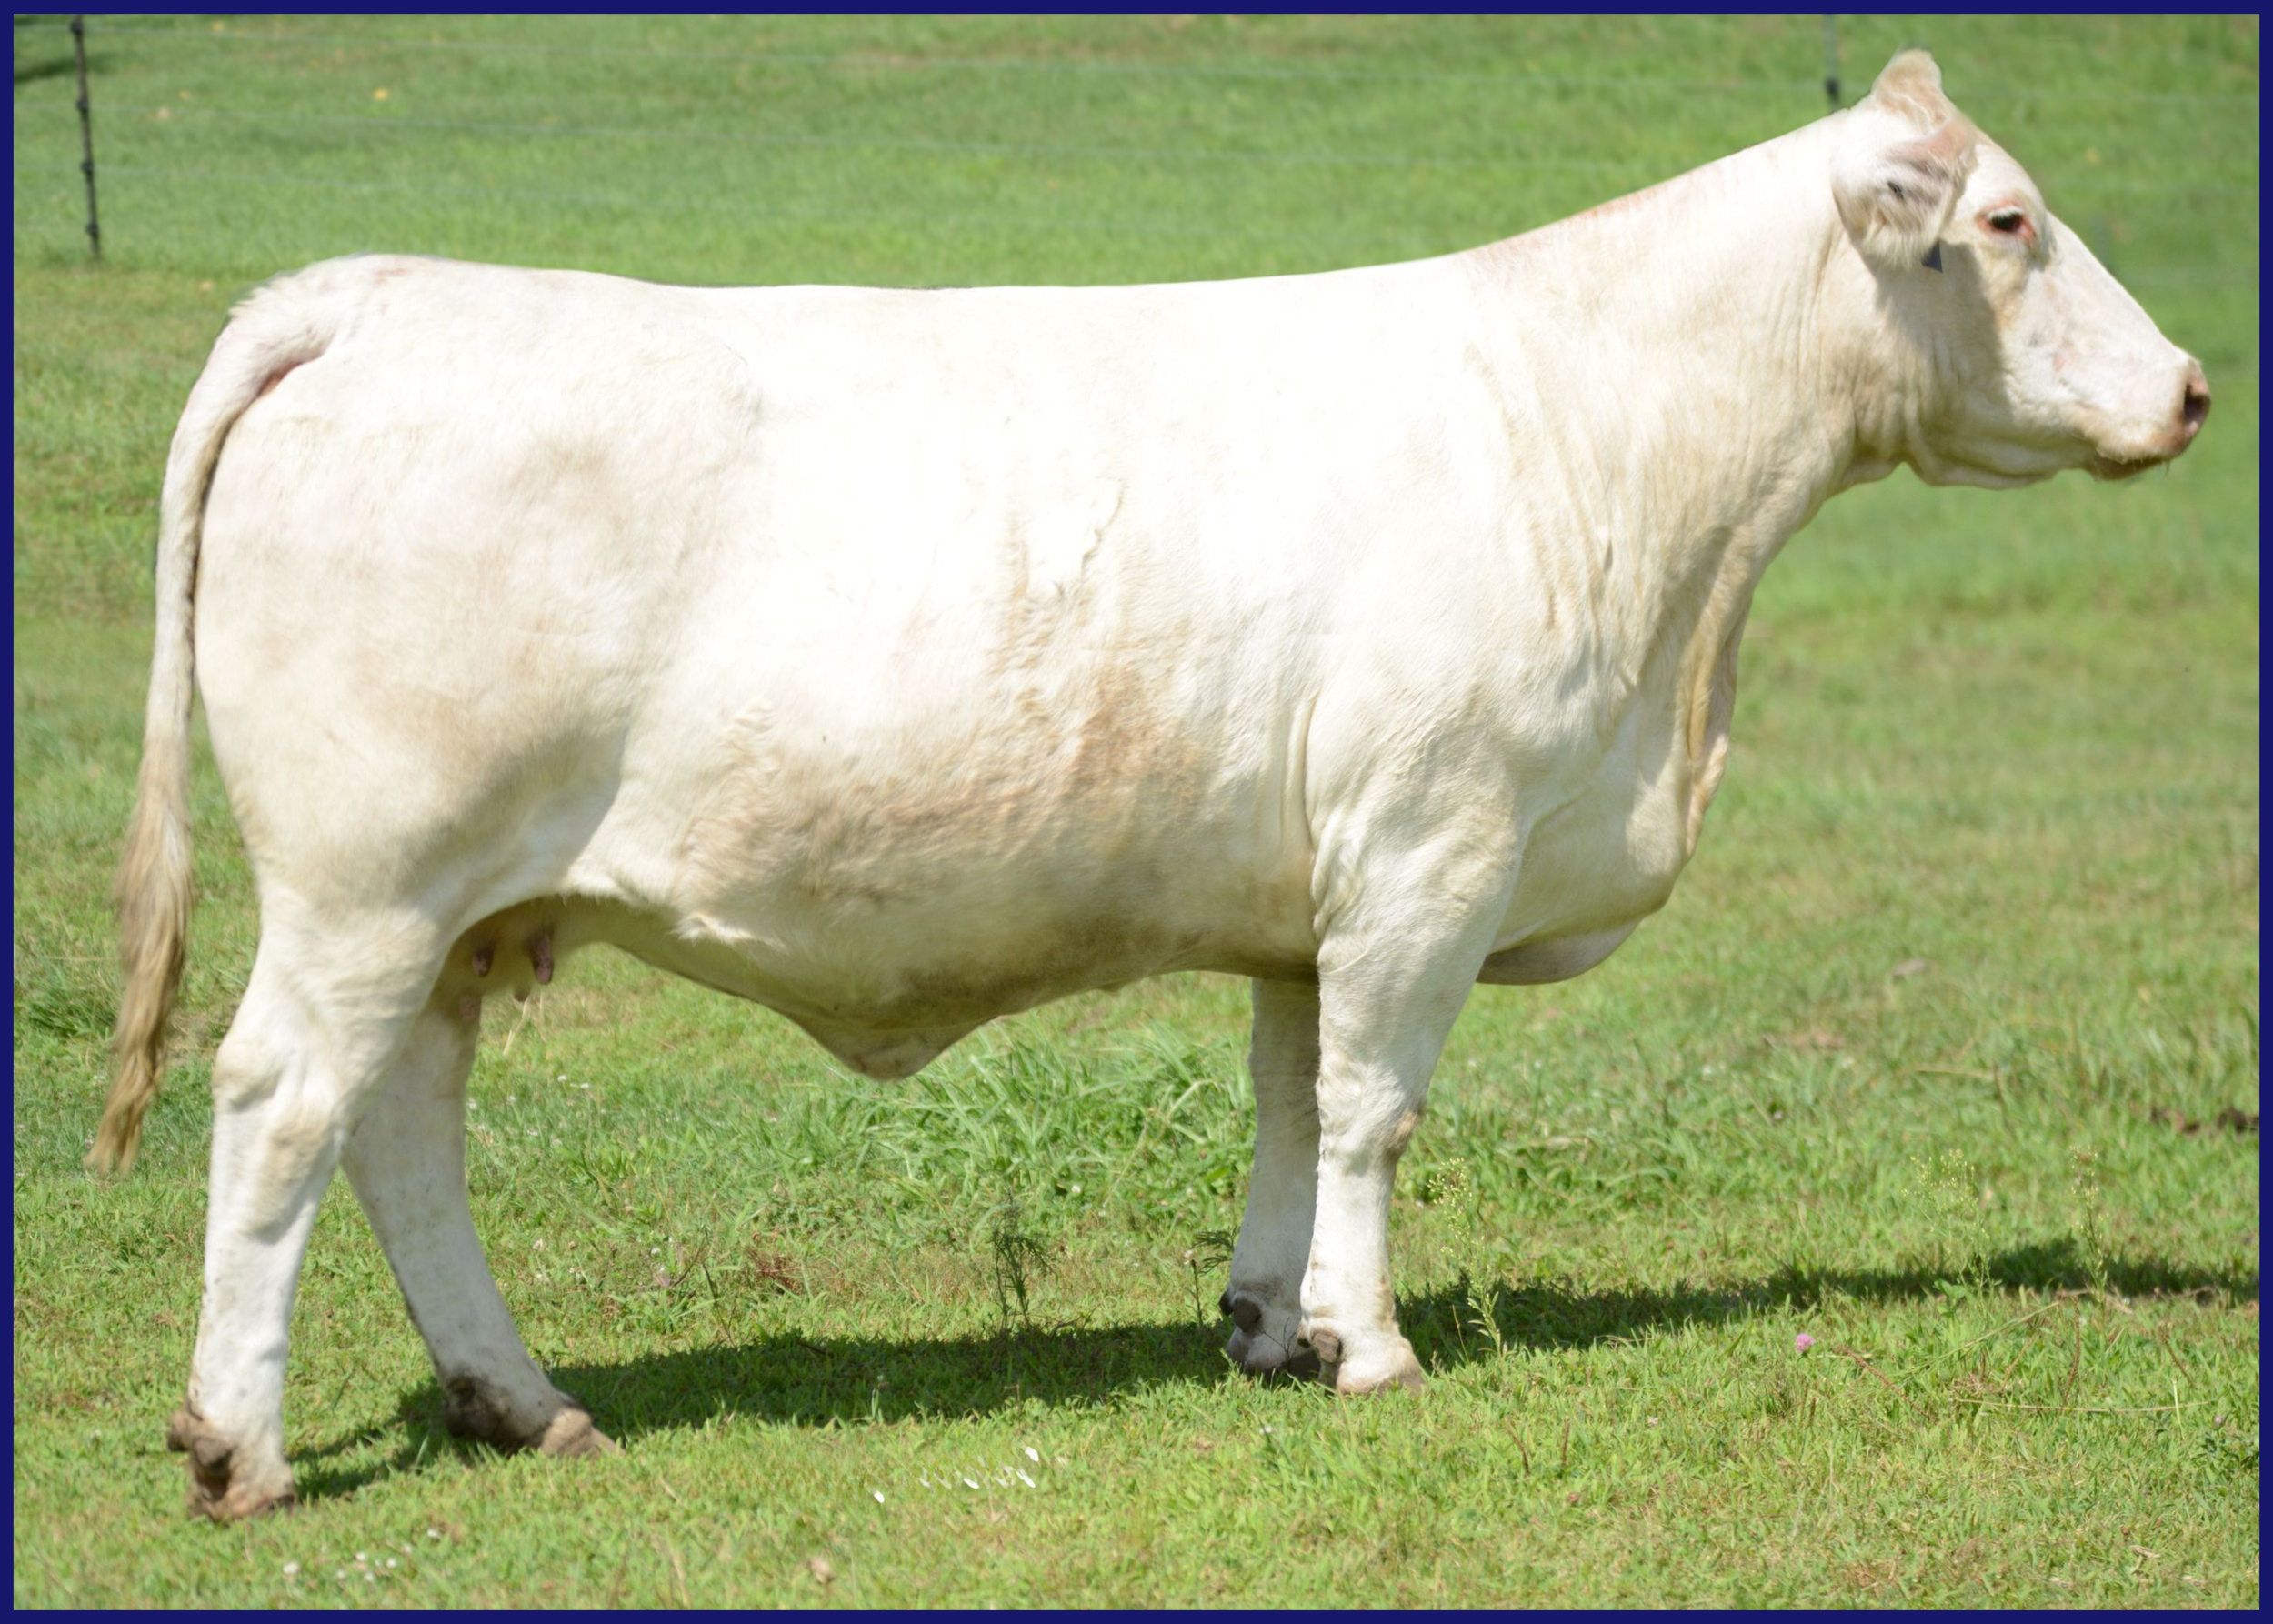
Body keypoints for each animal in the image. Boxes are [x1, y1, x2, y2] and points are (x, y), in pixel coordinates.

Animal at [93, 50, 2207, 1520]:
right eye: (2006, 223)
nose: (2192, 384)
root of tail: (370, 291)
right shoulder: (1430, 845)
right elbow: (1376, 1109)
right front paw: (1377, 1347)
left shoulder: (1314, 895)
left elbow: (1289, 1100)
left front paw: (1276, 1322)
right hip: (369, 884)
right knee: (284, 1112)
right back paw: (240, 1447)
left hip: (458, 914)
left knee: (401, 1134)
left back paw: (522, 1402)